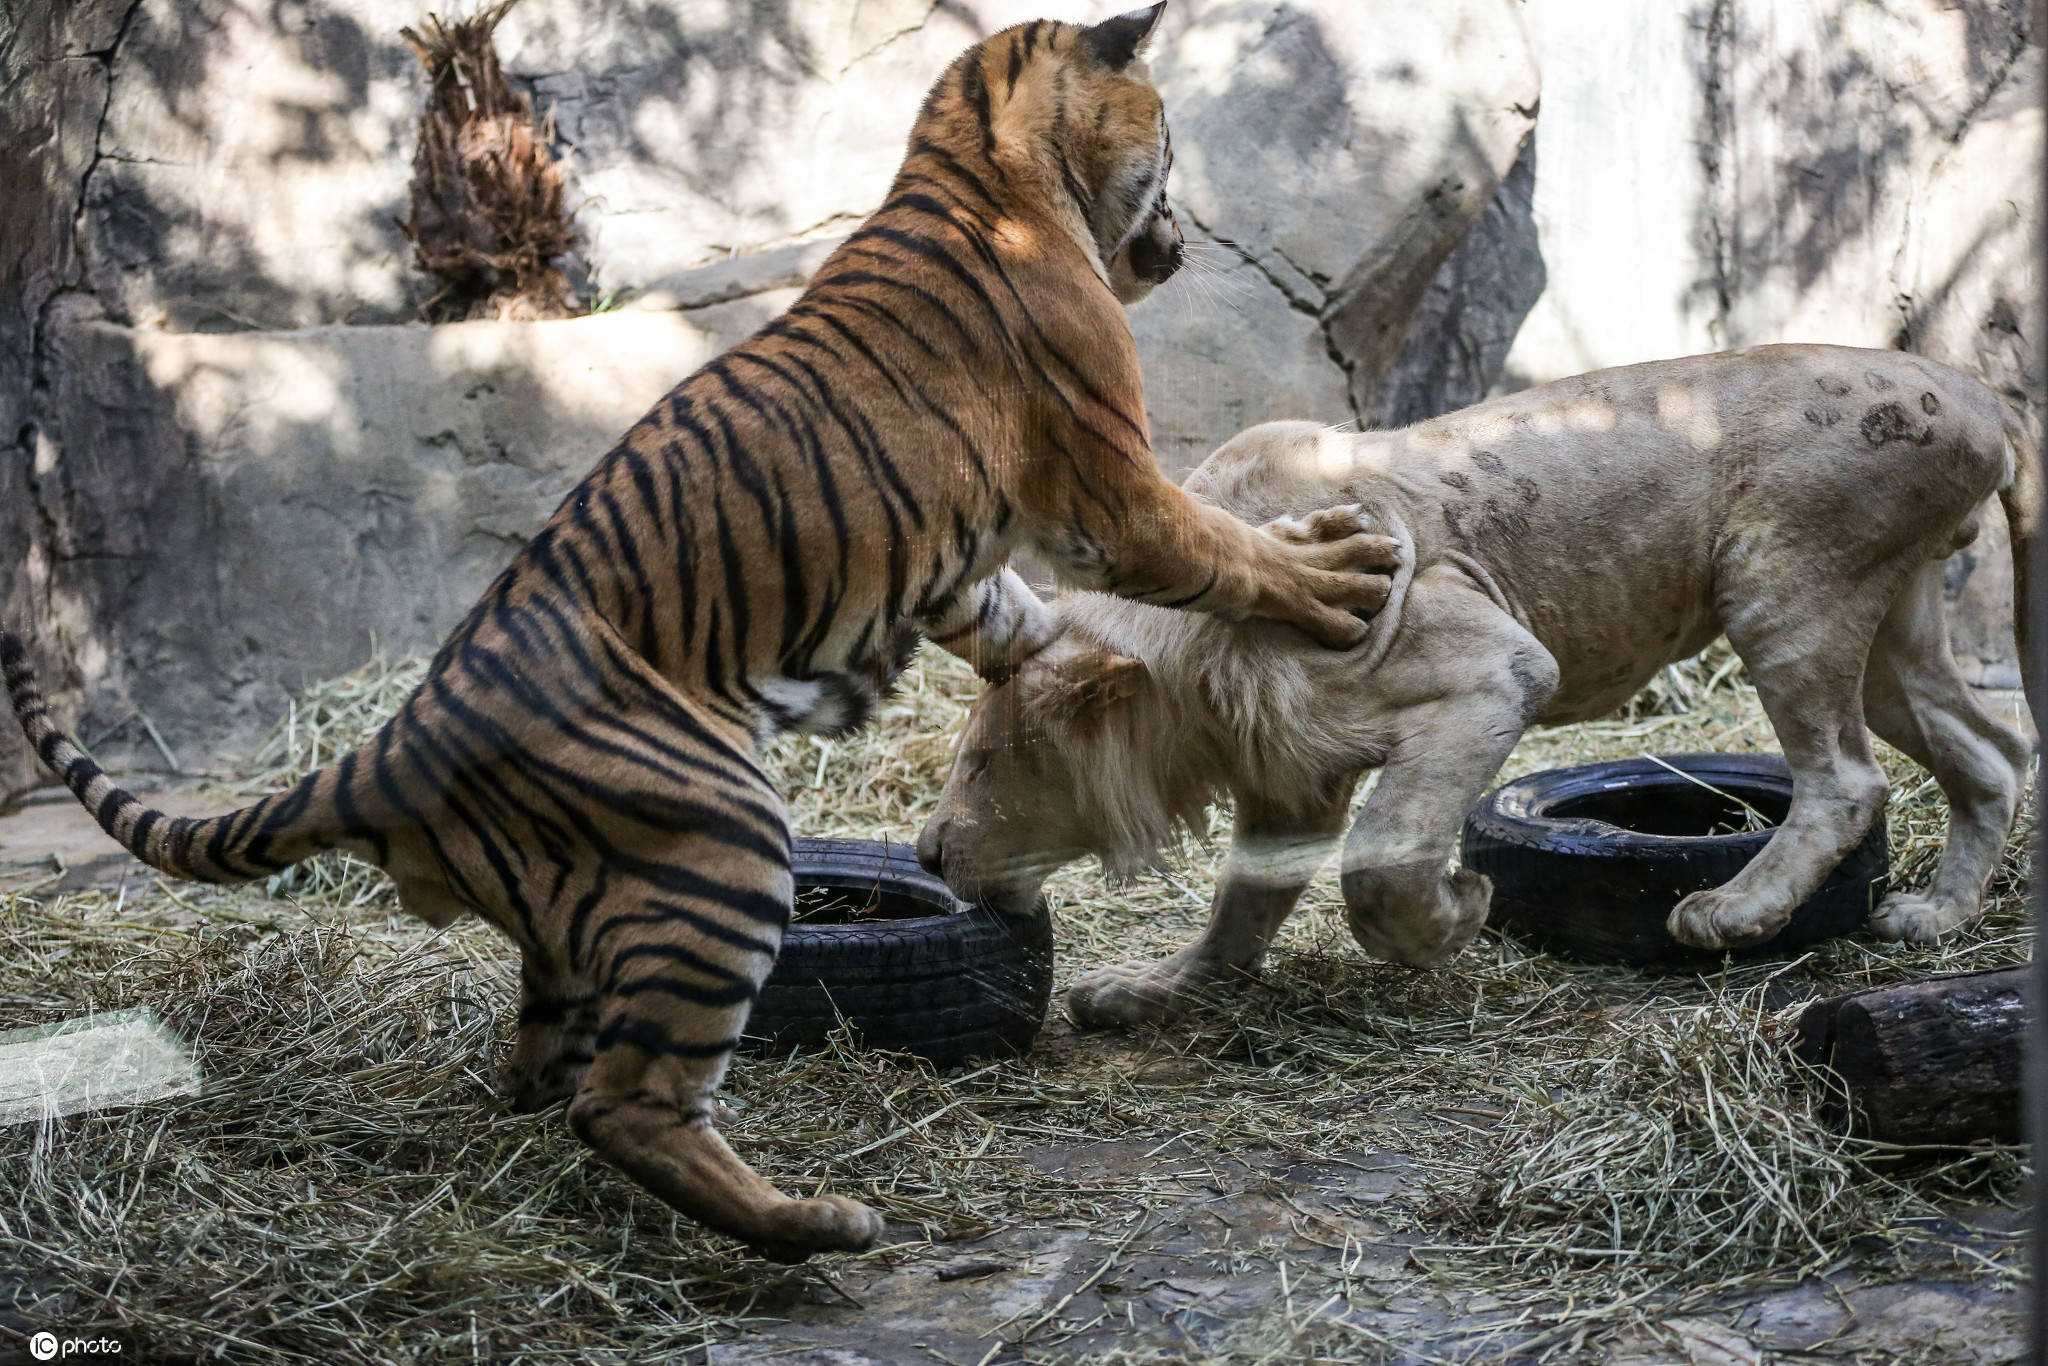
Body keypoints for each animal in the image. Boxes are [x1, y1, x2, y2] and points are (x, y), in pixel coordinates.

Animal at [0, 2, 1400, 1261]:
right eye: (1165, 137)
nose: (1180, 235)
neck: (974, 156)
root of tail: (392, 740)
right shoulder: (1113, 489)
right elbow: (1223, 554)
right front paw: (1342, 574)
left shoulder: (961, 553)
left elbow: (1012, 613)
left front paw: (1065, 663)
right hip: (721, 850)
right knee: (624, 1106)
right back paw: (814, 1229)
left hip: (572, 929)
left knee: (542, 1075)